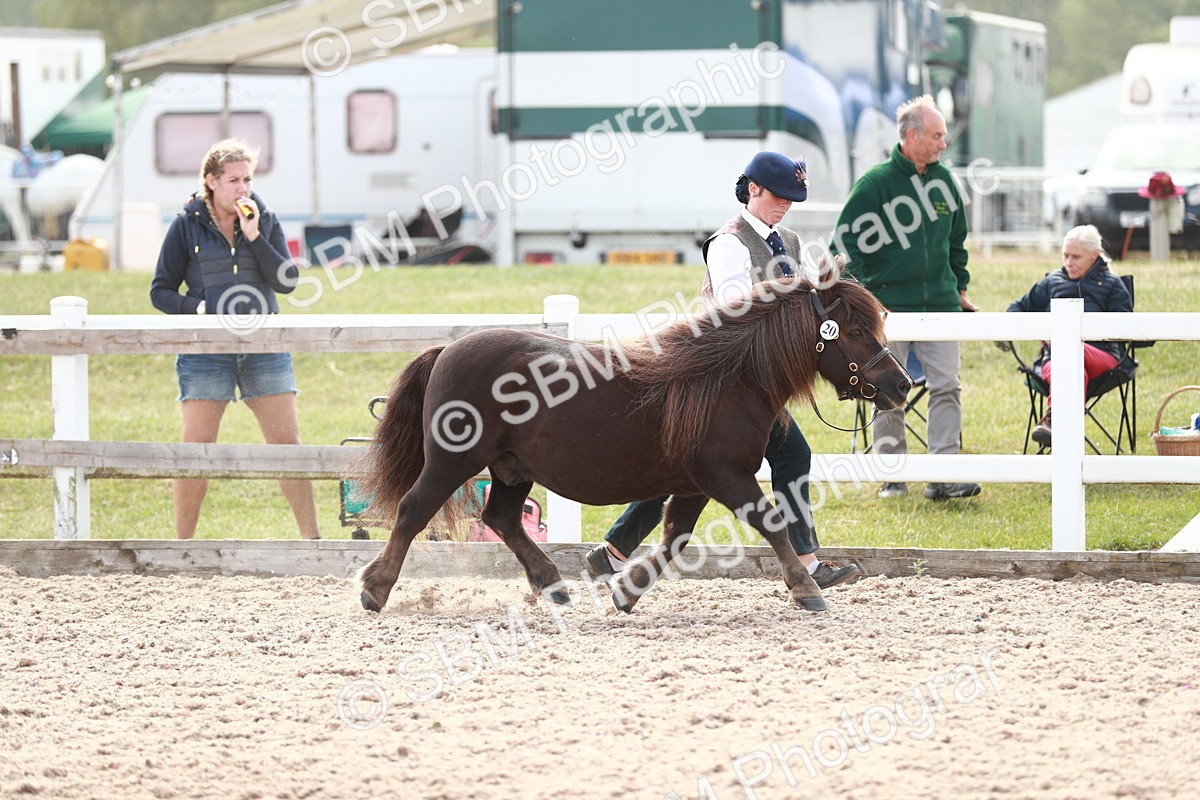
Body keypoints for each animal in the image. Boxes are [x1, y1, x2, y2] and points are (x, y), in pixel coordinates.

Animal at [354, 274, 911, 614]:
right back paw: (375, 589)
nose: (901, 384)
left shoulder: (694, 485)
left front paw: (627, 592)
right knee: (412, 511)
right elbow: (771, 524)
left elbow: (674, 539)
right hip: (452, 462)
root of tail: (447, 348)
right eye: (854, 330)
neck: (729, 378)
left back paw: (553, 584)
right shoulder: (727, 477)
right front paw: (807, 588)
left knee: (502, 519)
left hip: (513, 469)